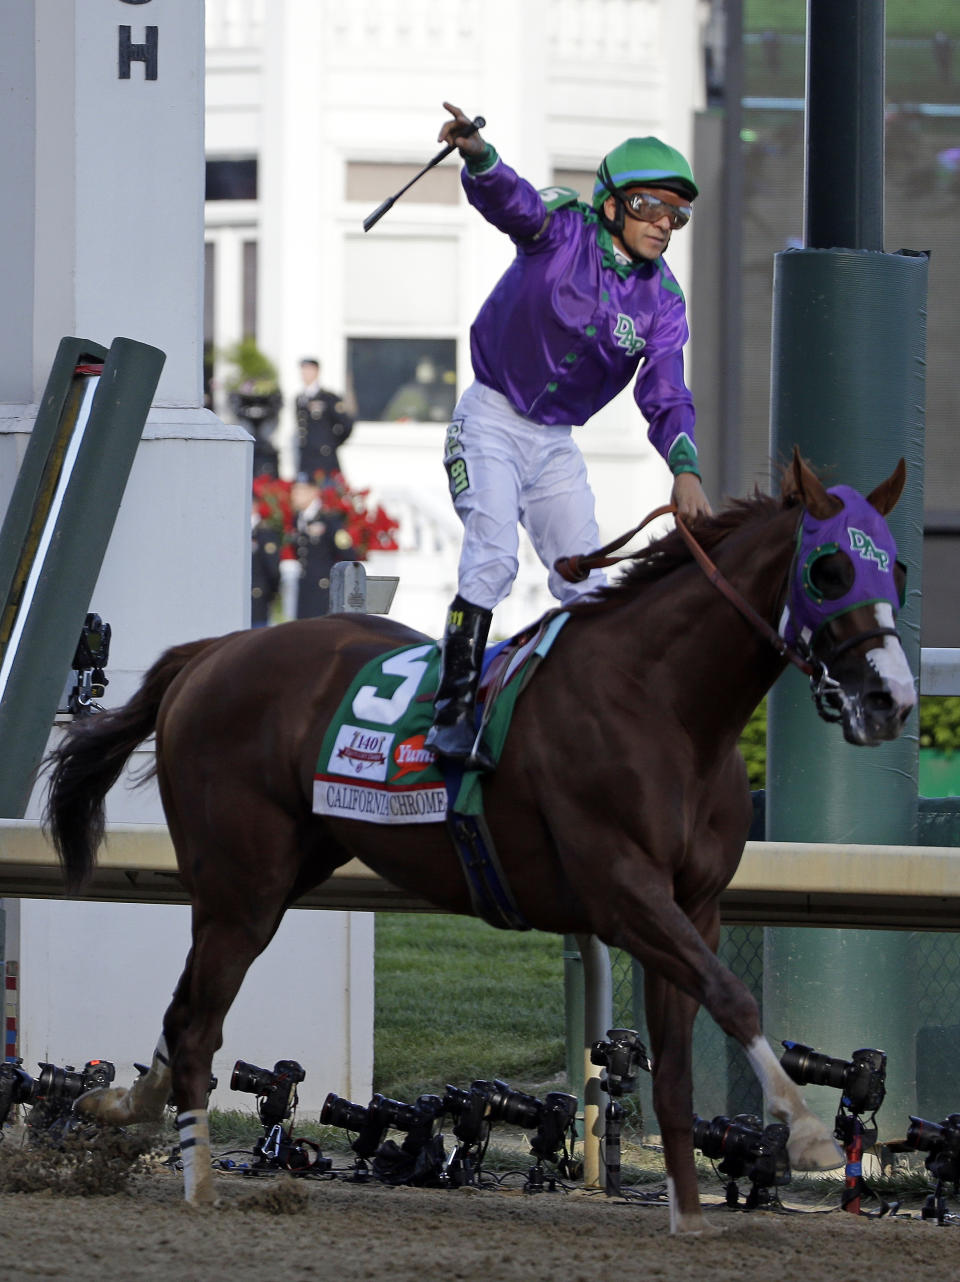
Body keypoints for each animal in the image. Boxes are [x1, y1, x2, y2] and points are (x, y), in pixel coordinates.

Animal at [44, 451, 912, 1230]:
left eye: (896, 568)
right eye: (829, 570)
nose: (891, 699)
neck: (665, 705)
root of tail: (212, 651)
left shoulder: (694, 905)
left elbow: (678, 1067)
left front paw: (690, 1218)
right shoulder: (621, 890)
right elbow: (732, 996)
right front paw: (806, 1132)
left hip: (286, 869)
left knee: (182, 1010)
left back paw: (123, 1104)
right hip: (241, 886)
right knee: (196, 1026)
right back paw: (196, 1186)